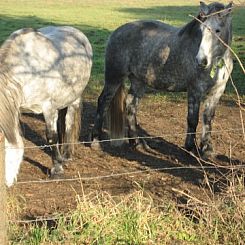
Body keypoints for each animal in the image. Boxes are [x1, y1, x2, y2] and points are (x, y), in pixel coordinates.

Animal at [0, 25, 92, 186]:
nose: (6, 183)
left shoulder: (48, 108)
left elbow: (51, 137)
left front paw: (57, 170)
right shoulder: (16, 108)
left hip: (74, 99)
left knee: (69, 123)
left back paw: (66, 154)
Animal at [90, 1, 234, 159]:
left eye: (217, 30)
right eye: (201, 30)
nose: (201, 60)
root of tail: (116, 32)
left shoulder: (217, 92)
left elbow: (208, 118)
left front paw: (207, 150)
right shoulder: (195, 90)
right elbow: (192, 119)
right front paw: (190, 148)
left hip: (138, 81)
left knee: (130, 106)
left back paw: (137, 142)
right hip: (114, 77)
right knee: (103, 102)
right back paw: (95, 140)